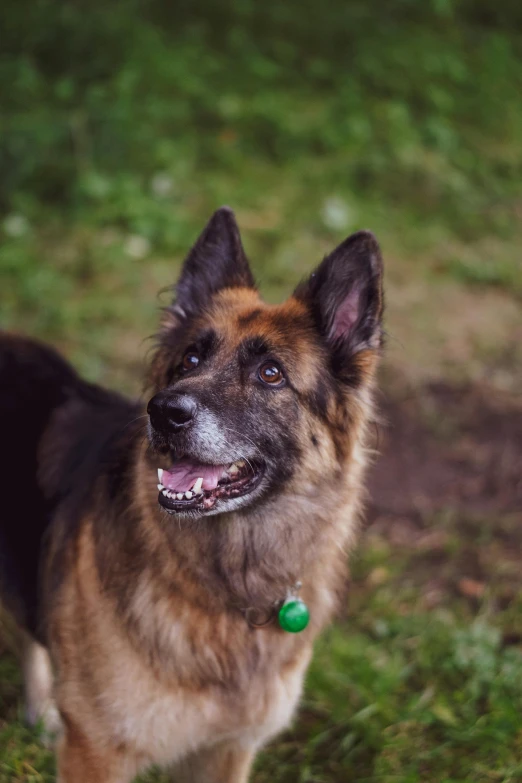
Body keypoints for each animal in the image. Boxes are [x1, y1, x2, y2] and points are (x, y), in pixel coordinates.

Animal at [0, 208, 382, 783]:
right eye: (190, 359)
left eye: (271, 373)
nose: (163, 412)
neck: (224, 589)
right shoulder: (96, 750)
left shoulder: (228, 750)